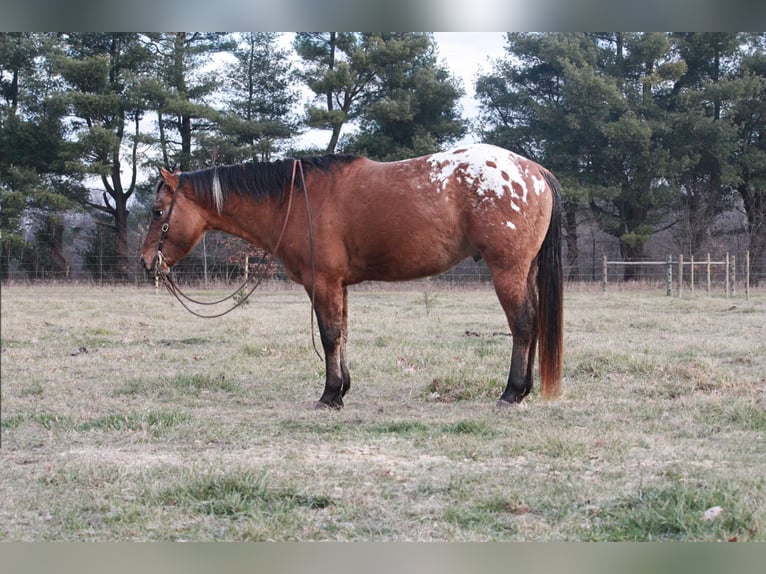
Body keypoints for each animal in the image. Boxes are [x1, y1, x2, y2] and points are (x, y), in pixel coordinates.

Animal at [142, 143, 564, 410]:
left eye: (158, 211)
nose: (148, 261)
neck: (294, 199)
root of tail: (536, 172)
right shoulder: (339, 286)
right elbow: (342, 334)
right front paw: (342, 389)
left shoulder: (323, 283)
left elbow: (329, 336)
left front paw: (330, 395)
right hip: (523, 271)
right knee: (532, 324)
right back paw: (523, 391)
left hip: (507, 271)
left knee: (523, 324)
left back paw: (511, 393)